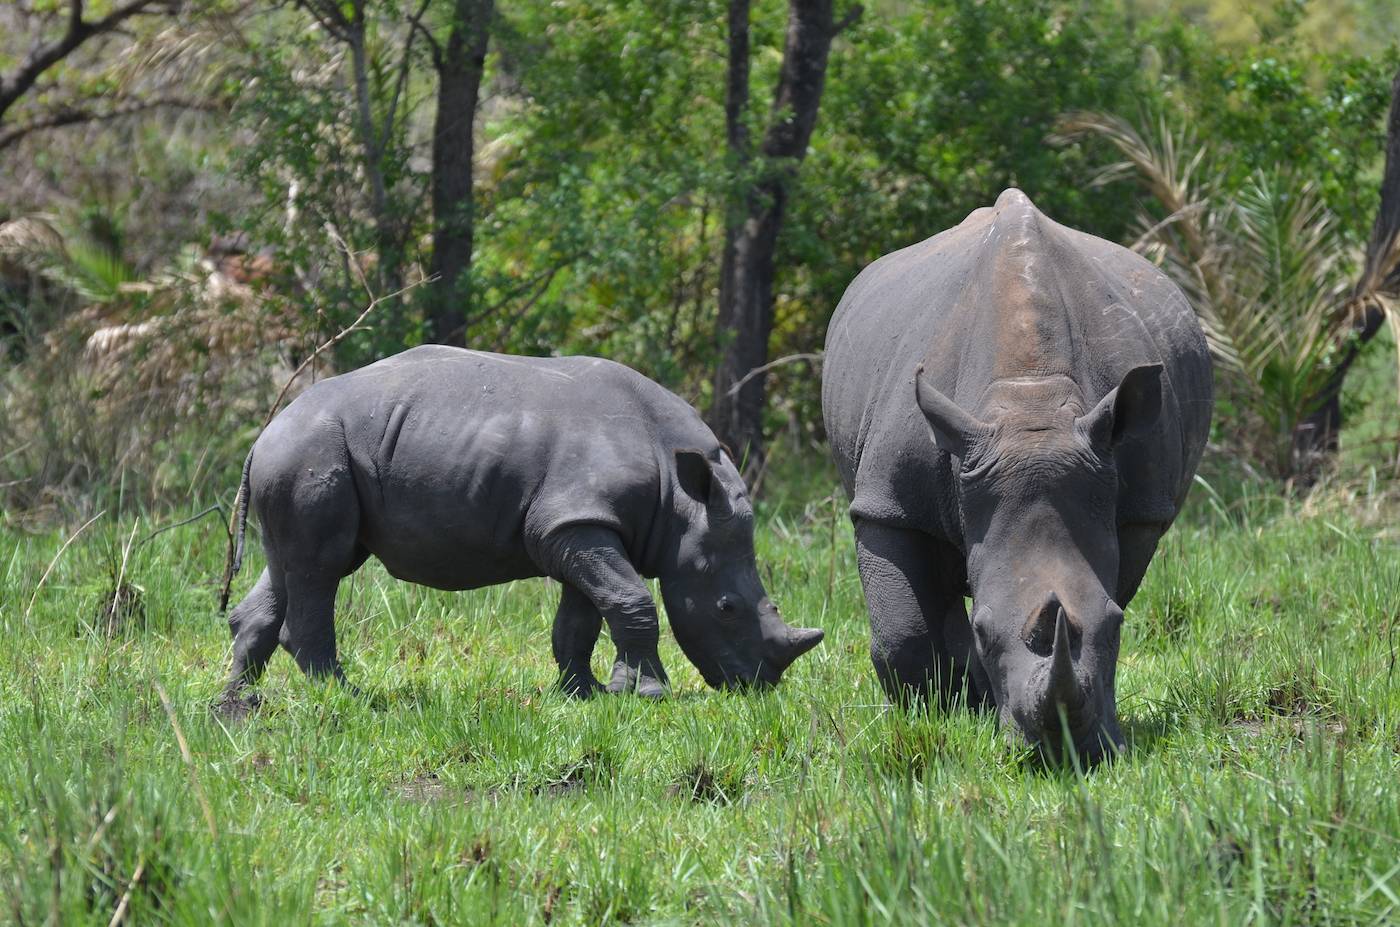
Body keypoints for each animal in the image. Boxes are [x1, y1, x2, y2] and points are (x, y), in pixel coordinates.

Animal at [219, 345, 823, 712]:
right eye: (726, 608)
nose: (758, 686)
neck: (681, 497)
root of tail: (264, 433)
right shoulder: (574, 523)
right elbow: (634, 602)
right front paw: (649, 696)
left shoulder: (582, 526)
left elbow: (584, 617)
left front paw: (588, 695)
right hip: (312, 452)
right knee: (320, 568)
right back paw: (348, 696)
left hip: (306, 455)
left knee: (296, 565)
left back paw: (236, 703)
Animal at [822, 189, 1212, 761]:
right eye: (985, 631)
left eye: (1118, 629)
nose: (1065, 752)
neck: (1031, 398)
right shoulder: (888, 503)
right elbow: (905, 631)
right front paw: (953, 711)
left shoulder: (1140, 509)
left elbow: (1113, 585)